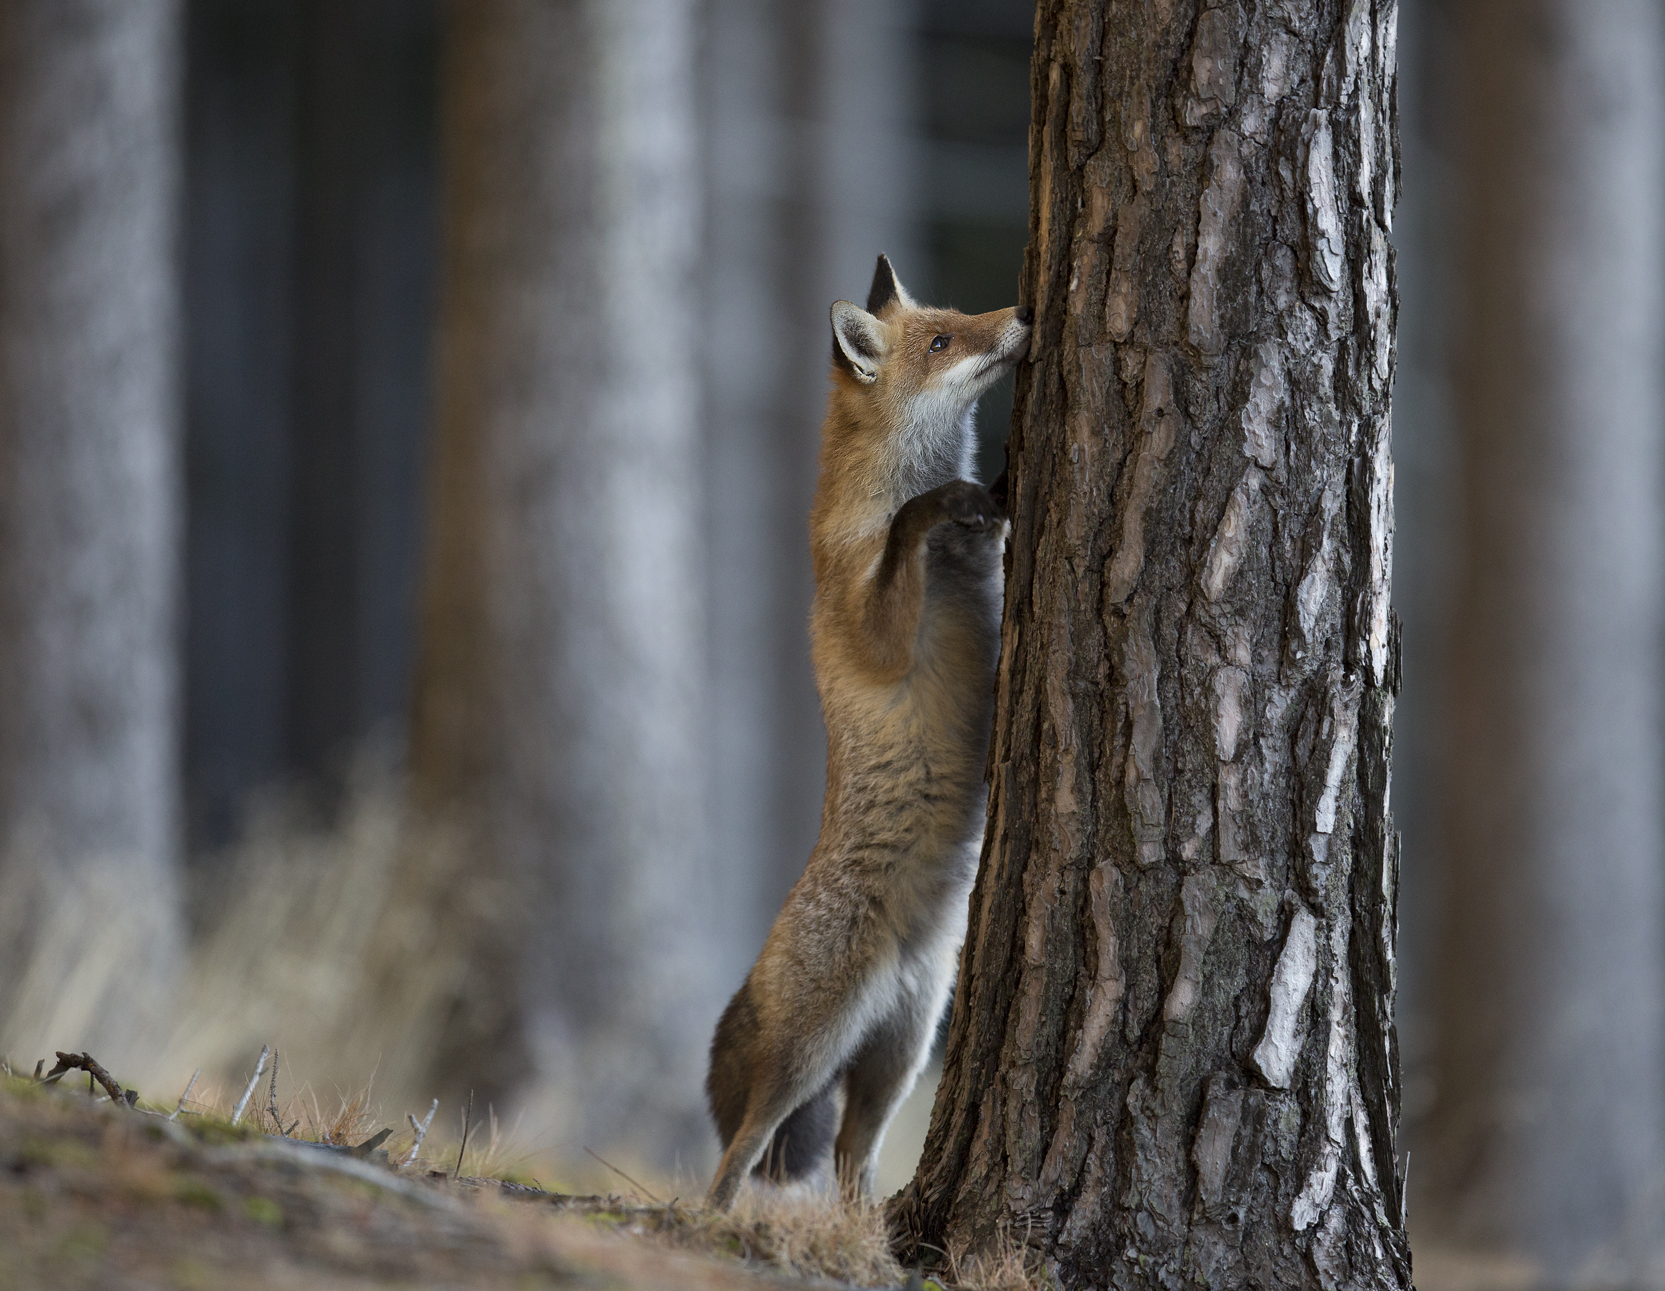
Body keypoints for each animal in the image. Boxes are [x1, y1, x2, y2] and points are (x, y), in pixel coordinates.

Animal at [704, 254, 1033, 1210]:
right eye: (940, 341)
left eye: (957, 318)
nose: (1025, 313)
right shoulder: (875, 631)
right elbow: (902, 536)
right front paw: (943, 503)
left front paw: (997, 489)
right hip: (811, 1052)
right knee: (740, 1147)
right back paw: (715, 1220)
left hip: (901, 1054)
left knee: (854, 1159)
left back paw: (864, 1235)